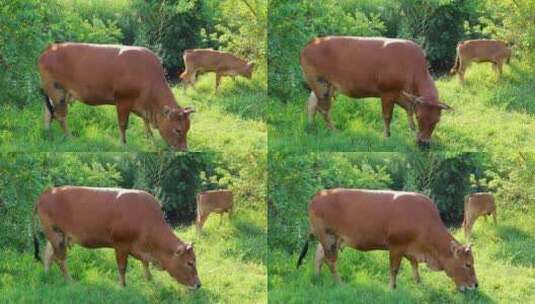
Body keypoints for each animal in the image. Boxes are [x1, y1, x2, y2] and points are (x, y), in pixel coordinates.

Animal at [31, 185, 203, 290]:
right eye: (190, 263)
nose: (199, 285)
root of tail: (48, 191)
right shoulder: (121, 245)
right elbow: (122, 267)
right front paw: (122, 286)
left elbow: (145, 264)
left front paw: (149, 279)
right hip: (55, 234)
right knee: (60, 259)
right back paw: (70, 281)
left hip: (57, 236)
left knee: (48, 255)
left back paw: (46, 275)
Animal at [39, 43, 195, 151]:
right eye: (178, 130)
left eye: (188, 128)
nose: (184, 150)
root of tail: (50, 48)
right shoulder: (123, 100)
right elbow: (123, 123)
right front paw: (123, 143)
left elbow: (145, 122)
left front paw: (149, 138)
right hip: (57, 91)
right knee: (60, 116)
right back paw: (70, 138)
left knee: (48, 112)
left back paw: (47, 133)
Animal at [300, 189, 480, 290]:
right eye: (467, 264)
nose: (476, 285)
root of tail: (317, 196)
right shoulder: (396, 246)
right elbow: (394, 269)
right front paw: (392, 287)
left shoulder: (412, 249)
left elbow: (414, 265)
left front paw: (418, 282)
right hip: (328, 237)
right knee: (330, 261)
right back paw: (339, 283)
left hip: (331, 239)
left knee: (318, 256)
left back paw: (316, 277)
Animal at [302, 36, 452, 147]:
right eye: (420, 117)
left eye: (437, 120)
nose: (424, 143)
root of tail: (311, 42)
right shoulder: (387, 92)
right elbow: (387, 116)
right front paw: (386, 136)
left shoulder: (402, 95)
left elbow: (408, 108)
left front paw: (412, 129)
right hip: (320, 83)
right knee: (323, 109)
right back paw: (334, 131)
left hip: (325, 86)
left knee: (312, 103)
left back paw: (310, 126)